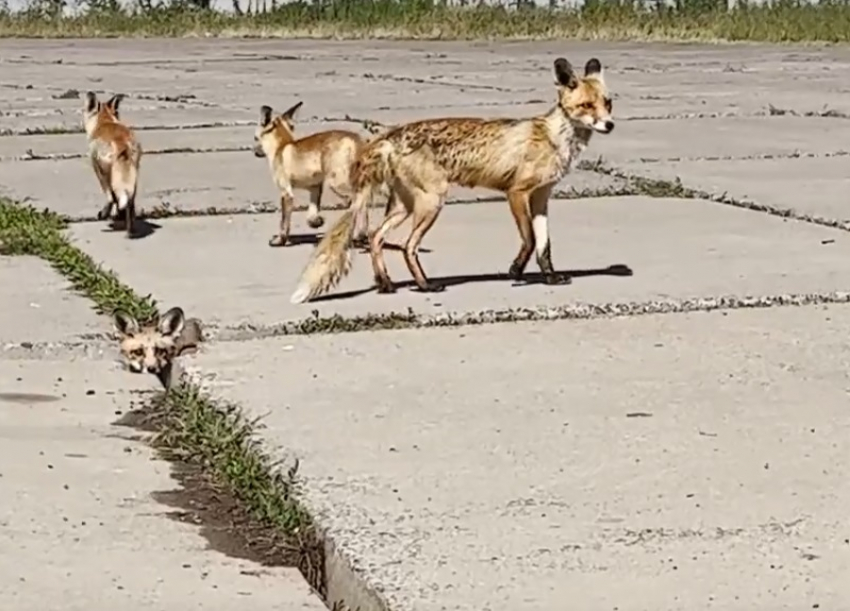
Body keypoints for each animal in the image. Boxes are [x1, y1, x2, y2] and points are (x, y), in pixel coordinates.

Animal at [82, 91, 142, 239]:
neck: (106, 120)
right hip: (135, 176)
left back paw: (103, 214)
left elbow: (113, 198)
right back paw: (129, 230)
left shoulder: (96, 166)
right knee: (130, 204)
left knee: (110, 197)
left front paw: (108, 214)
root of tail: (121, 143)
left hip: (104, 174)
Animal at [253, 100, 370, 246]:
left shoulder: (286, 192)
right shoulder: (315, 187)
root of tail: (356, 140)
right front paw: (315, 222)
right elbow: (312, 211)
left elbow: (284, 221)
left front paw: (280, 239)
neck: (282, 146)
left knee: (357, 201)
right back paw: (361, 234)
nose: (254, 151)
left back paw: (355, 233)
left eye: (255, 138)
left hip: (337, 184)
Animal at [288, 56, 612, 304]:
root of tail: (390, 136)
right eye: (586, 106)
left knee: (376, 237)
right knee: (407, 246)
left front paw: (550, 277)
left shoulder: (542, 197)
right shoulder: (517, 192)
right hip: (432, 202)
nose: (610, 125)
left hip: (404, 206)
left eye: (608, 103)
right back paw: (425, 285)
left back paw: (386, 283)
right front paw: (516, 271)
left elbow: (545, 245)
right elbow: (530, 240)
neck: (554, 139)